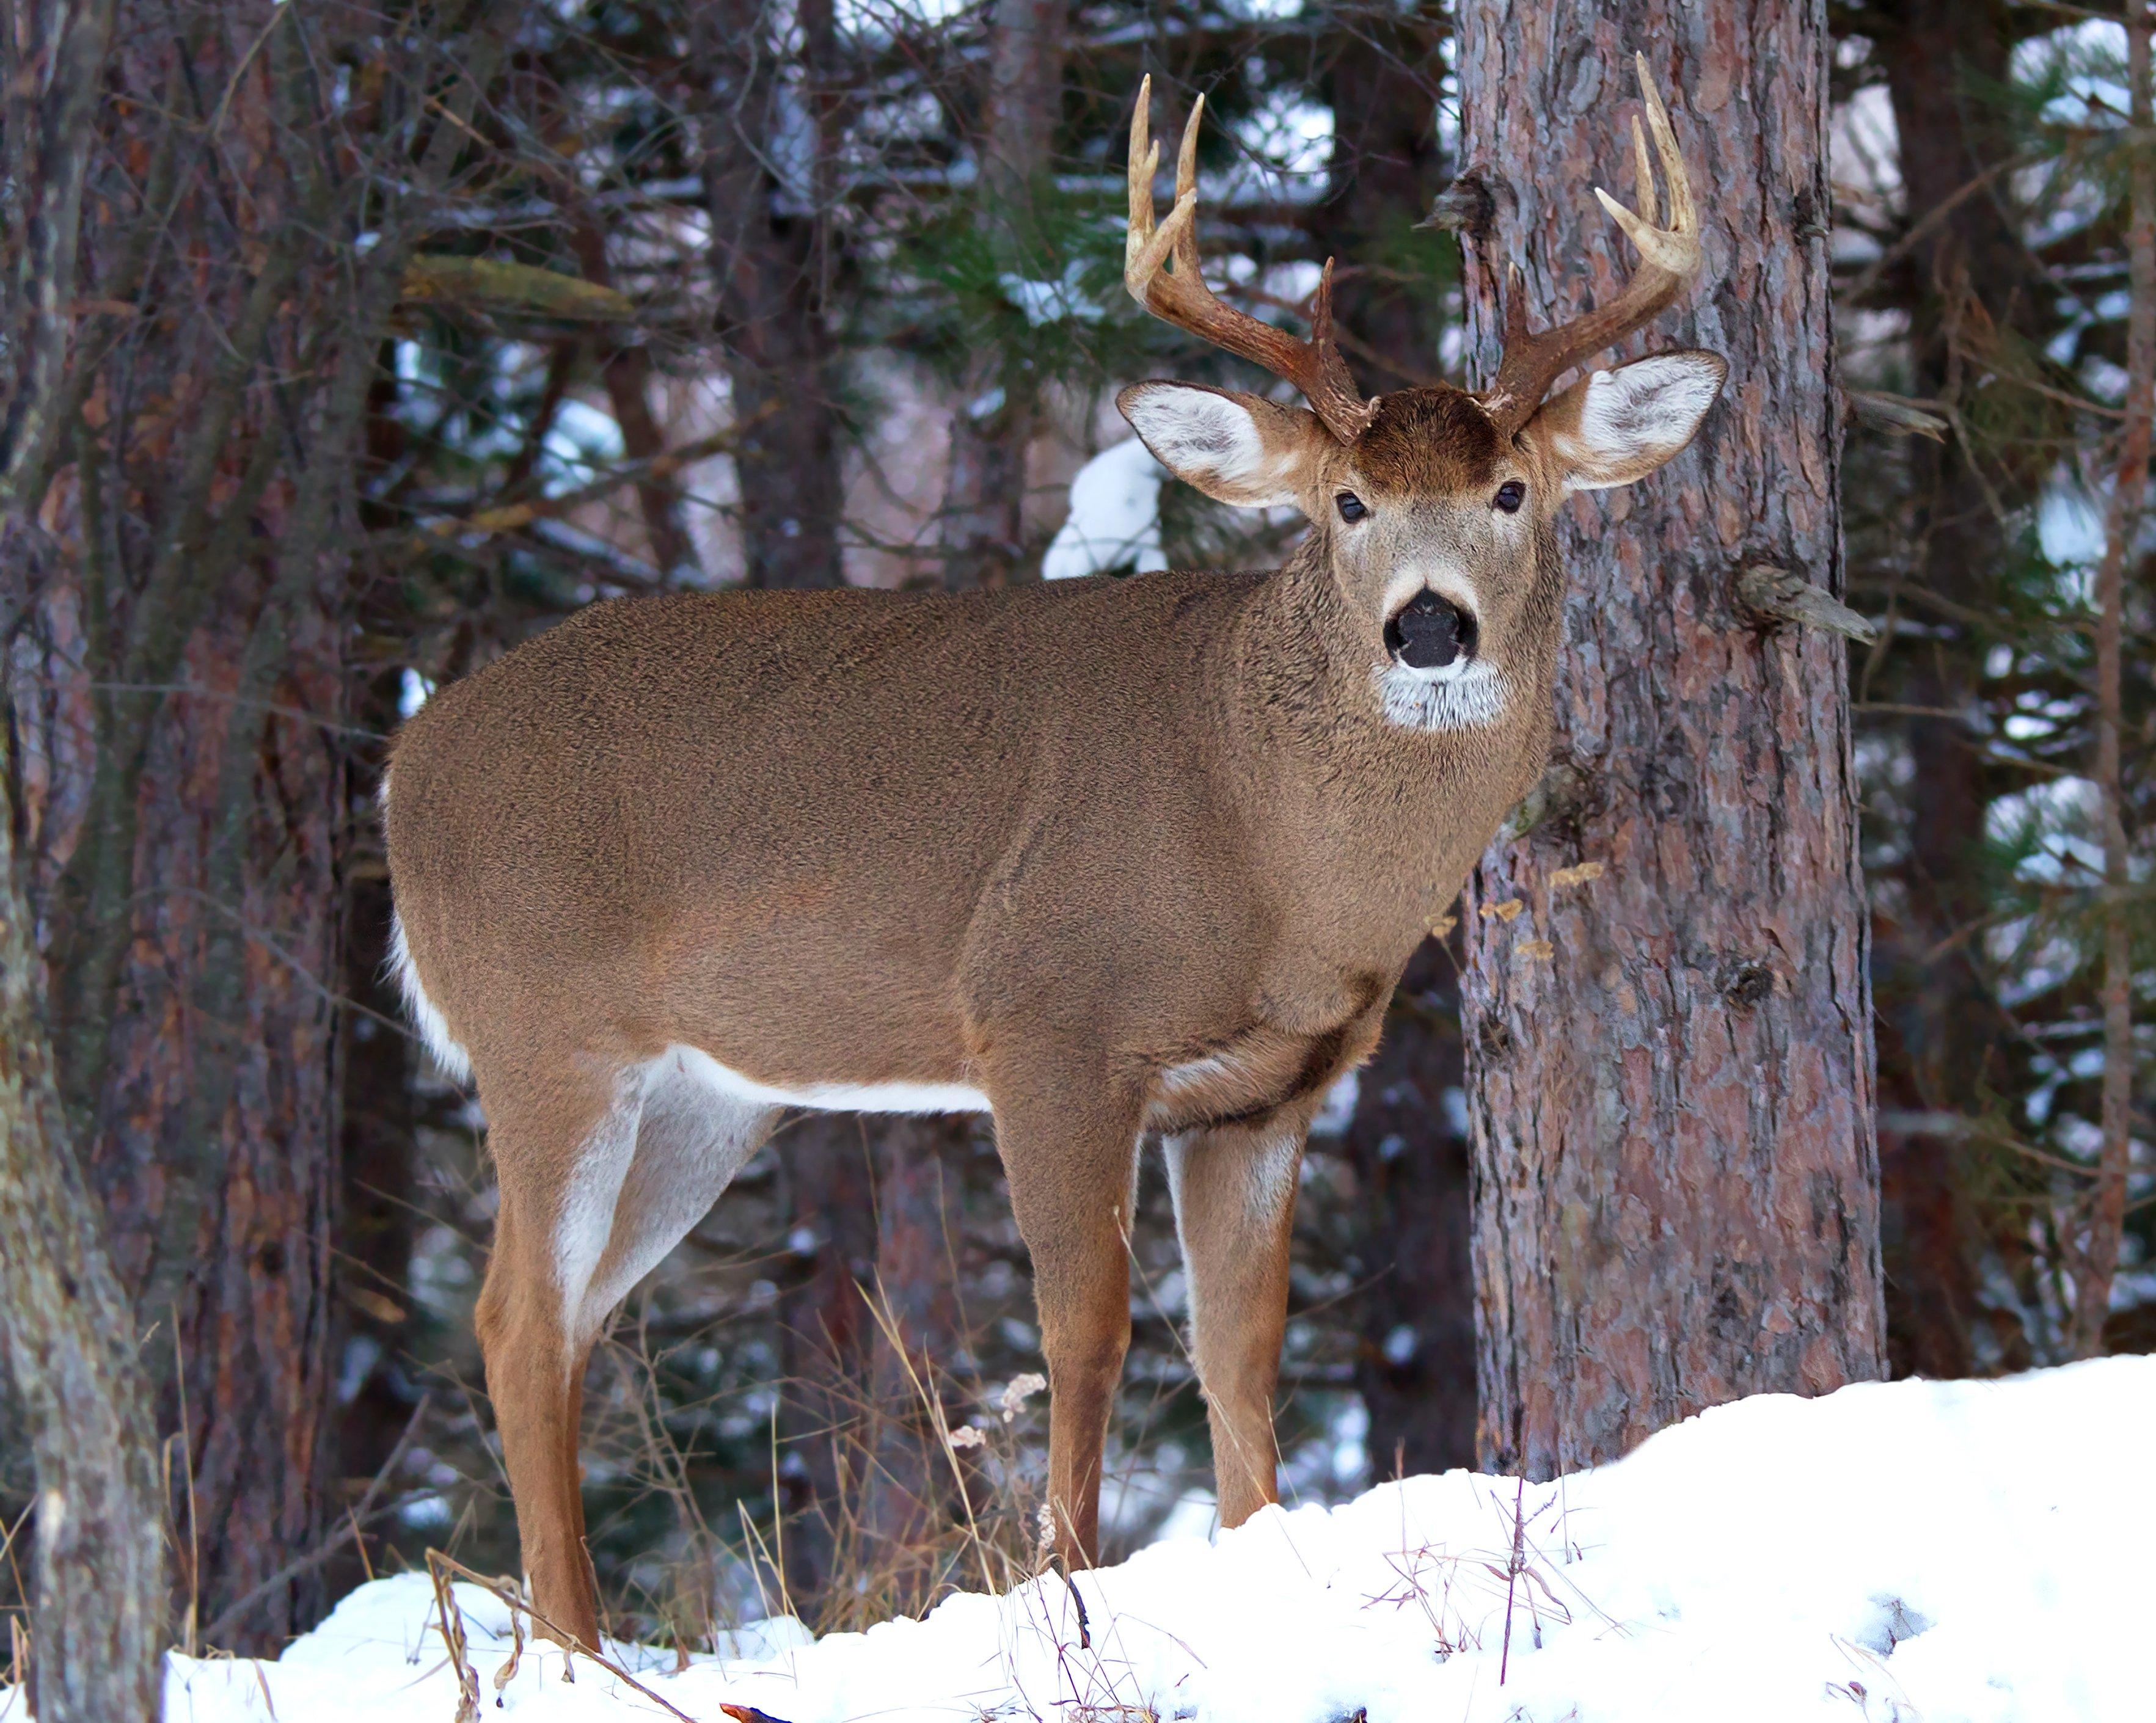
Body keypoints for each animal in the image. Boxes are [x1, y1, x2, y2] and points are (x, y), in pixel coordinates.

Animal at [388, 50, 1725, 1647]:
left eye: (1514, 490)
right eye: (1345, 502)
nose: (1426, 626)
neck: (1274, 850)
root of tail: (403, 765)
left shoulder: (1266, 1091)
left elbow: (1239, 1361)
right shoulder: (1045, 1021)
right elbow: (1083, 1333)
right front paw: (1066, 1592)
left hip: (708, 1094)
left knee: (577, 1316)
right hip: (543, 1037)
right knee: (514, 1321)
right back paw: (582, 1651)